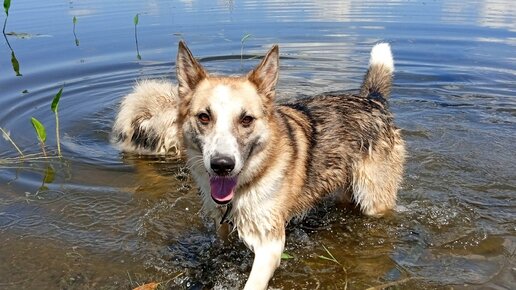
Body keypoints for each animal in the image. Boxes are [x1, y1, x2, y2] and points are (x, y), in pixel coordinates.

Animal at [111, 41, 406, 290]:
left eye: (247, 119)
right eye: (204, 117)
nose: (222, 165)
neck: (250, 179)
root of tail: (373, 100)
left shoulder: (270, 245)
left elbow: (252, 284)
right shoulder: (222, 225)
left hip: (374, 201)